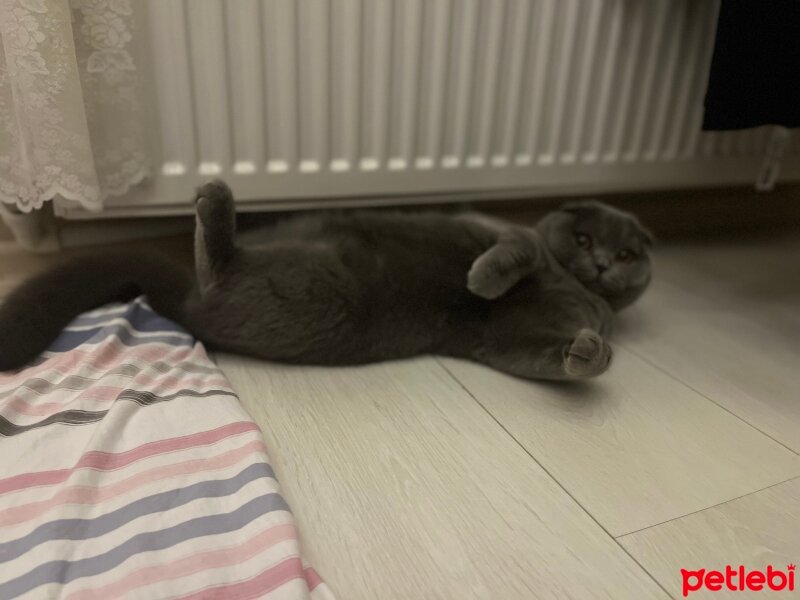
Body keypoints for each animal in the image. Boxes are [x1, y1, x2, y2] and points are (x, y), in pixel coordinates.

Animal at [0, 180, 652, 382]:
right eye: (585, 240)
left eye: (625, 252)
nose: (601, 264)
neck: (572, 283)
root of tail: (185, 304)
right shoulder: (507, 236)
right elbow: (513, 251)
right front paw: (484, 279)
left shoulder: (508, 339)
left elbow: (540, 353)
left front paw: (590, 352)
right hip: (306, 281)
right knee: (216, 263)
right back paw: (215, 199)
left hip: (310, 293)